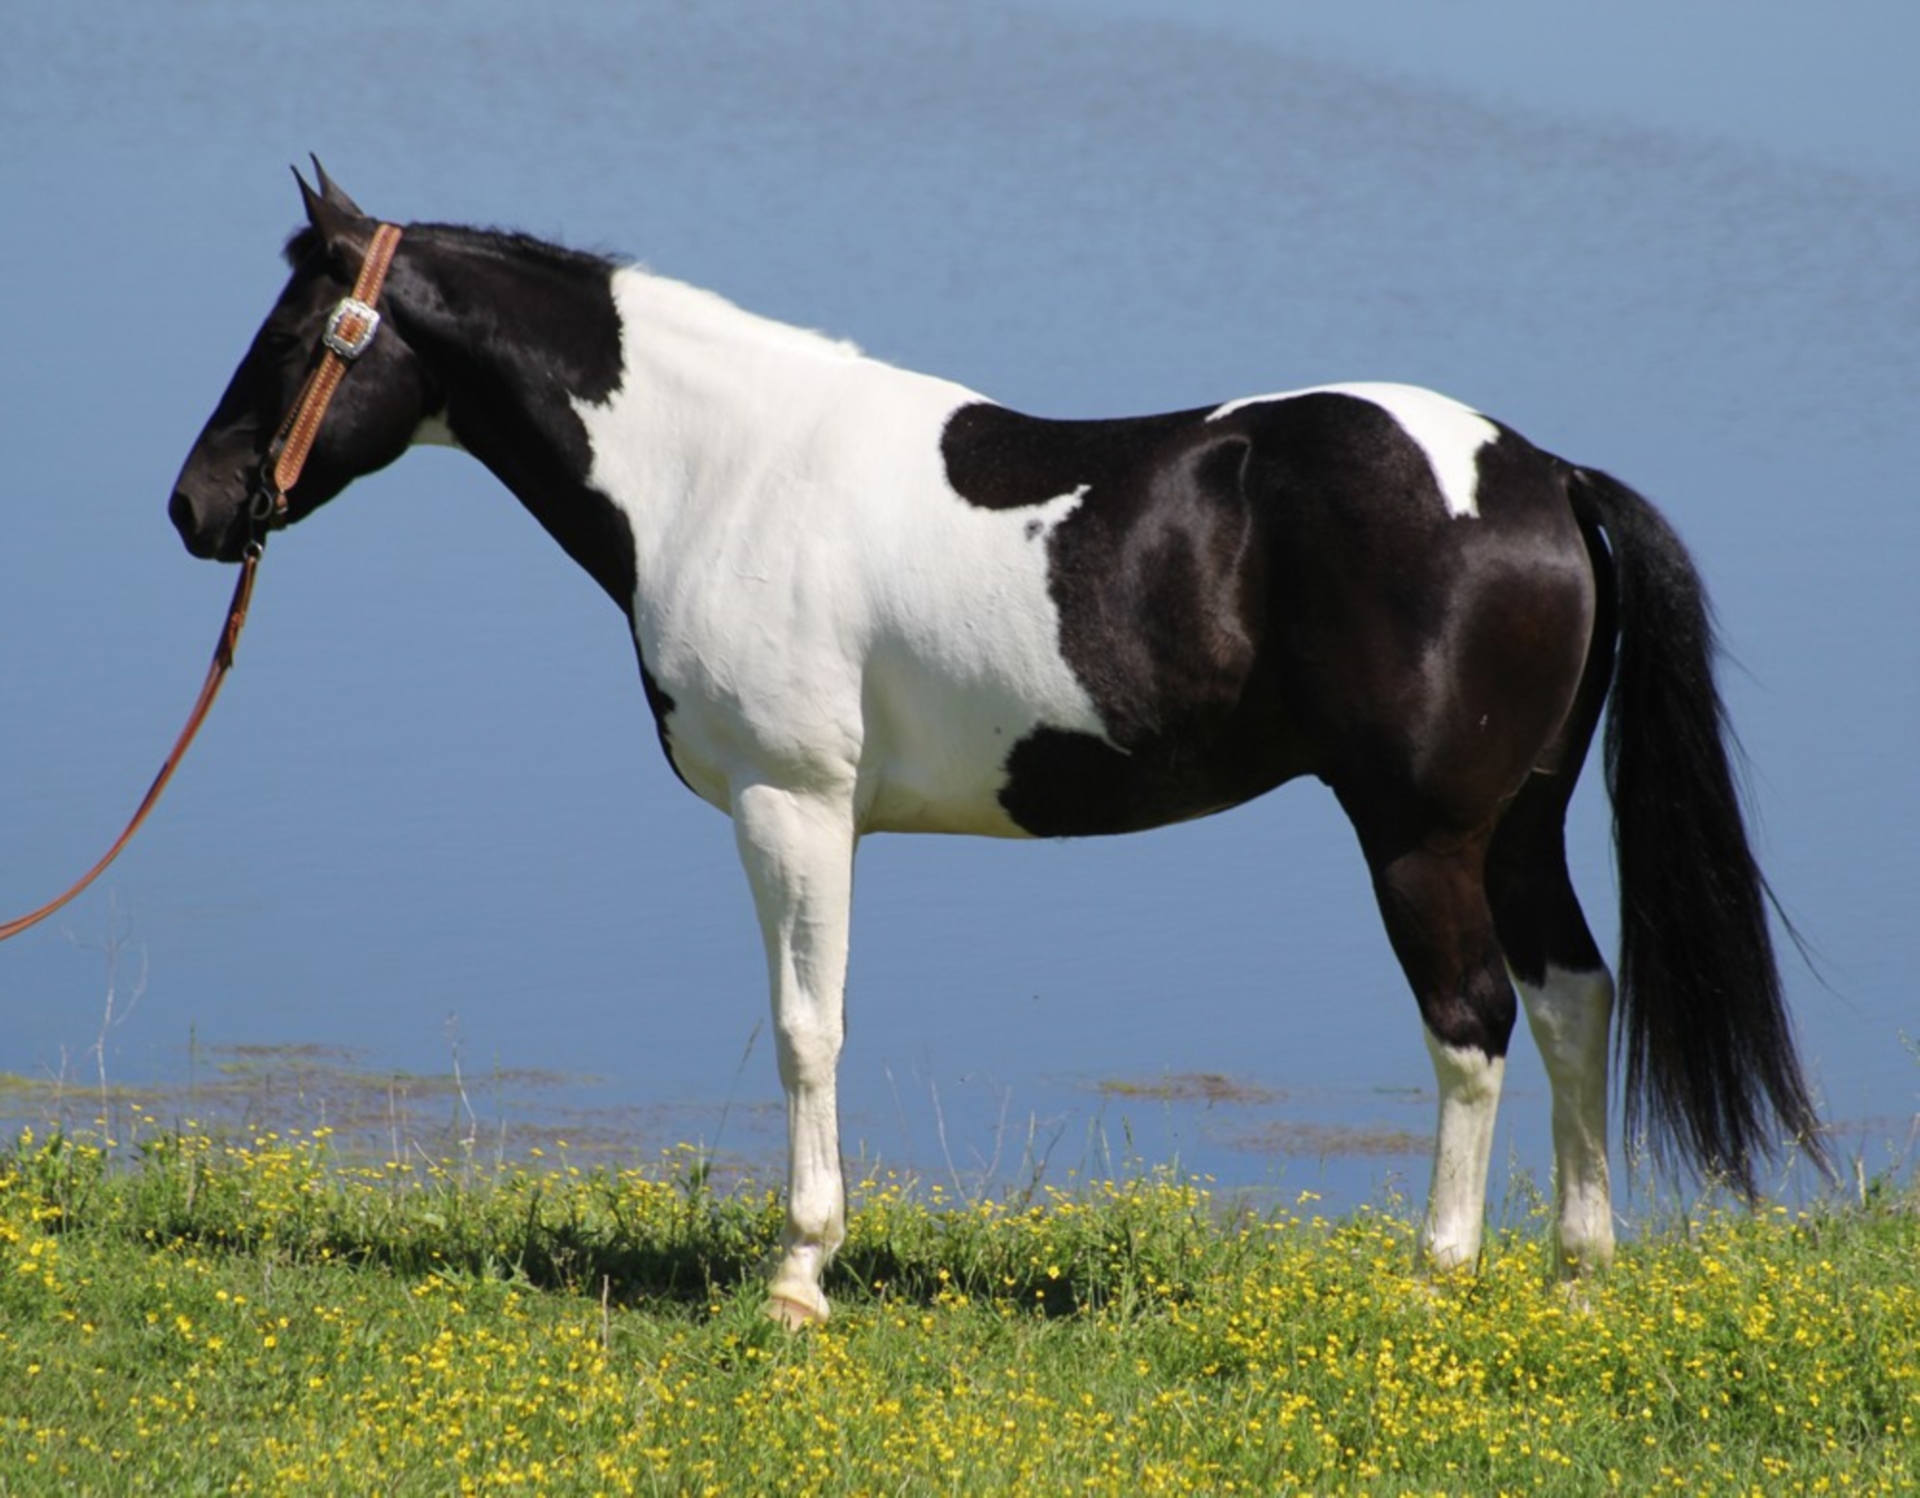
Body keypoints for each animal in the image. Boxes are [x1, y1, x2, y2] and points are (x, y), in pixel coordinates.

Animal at [168, 169, 1827, 1328]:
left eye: (301, 335)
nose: (197, 504)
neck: (723, 471)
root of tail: (1541, 475)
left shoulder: (791, 804)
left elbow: (806, 1028)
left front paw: (799, 1276)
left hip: (1422, 836)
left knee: (1473, 1022)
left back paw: (1437, 1279)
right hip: (1521, 823)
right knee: (1573, 1002)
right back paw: (1577, 1279)